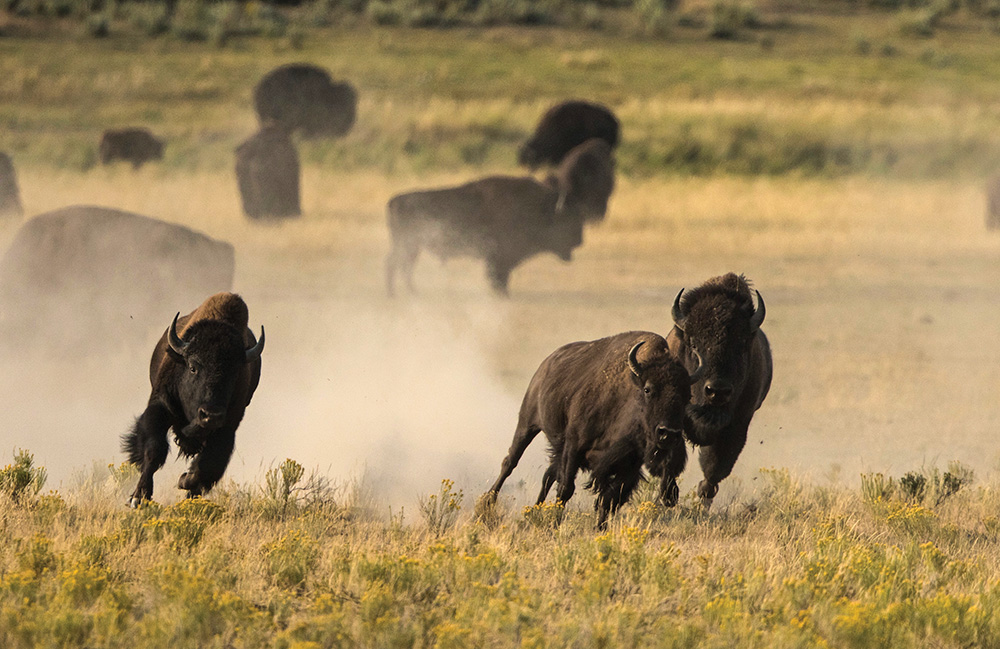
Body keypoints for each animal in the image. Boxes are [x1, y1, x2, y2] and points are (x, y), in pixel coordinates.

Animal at [123, 292, 266, 508]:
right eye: (193, 367)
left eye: (234, 373)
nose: (211, 415)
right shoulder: (159, 407)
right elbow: (154, 450)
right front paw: (138, 498)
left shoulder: (227, 428)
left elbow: (208, 466)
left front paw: (185, 480)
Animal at [384, 140, 612, 298]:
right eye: (568, 220)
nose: (579, 241)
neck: (538, 209)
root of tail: (394, 201)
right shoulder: (500, 257)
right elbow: (498, 276)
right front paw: (503, 295)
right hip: (408, 245)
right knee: (396, 265)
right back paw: (398, 294)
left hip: (412, 246)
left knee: (402, 267)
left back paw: (410, 293)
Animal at [484, 332, 704, 528]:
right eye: (648, 389)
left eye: (687, 396)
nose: (669, 433)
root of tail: (547, 363)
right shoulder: (574, 447)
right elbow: (566, 489)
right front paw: (554, 526)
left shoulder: (629, 466)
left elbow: (609, 499)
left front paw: (600, 530)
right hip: (527, 425)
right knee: (510, 462)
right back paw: (487, 503)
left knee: (548, 475)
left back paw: (533, 512)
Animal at [664, 270, 772, 508]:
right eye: (694, 345)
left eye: (740, 344)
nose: (717, 390)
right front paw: (667, 497)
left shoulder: (738, 423)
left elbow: (716, 465)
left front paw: (703, 496)